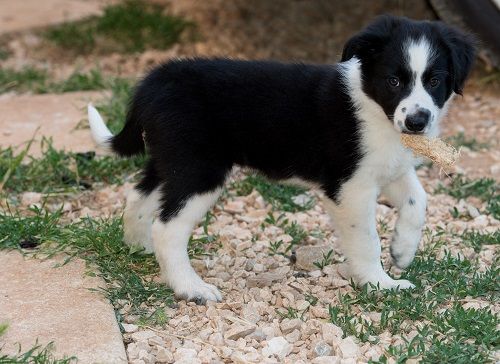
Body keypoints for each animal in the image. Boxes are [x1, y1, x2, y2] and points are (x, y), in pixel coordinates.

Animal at [88, 15, 474, 302]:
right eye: (394, 81)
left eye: (435, 81)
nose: (417, 121)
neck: (373, 105)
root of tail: (152, 82)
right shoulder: (350, 187)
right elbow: (366, 240)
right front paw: (380, 283)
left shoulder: (389, 168)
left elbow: (418, 201)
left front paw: (403, 251)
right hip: (200, 170)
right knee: (167, 227)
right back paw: (190, 287)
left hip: (171, 161)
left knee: (138, 197)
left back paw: (140, 248)